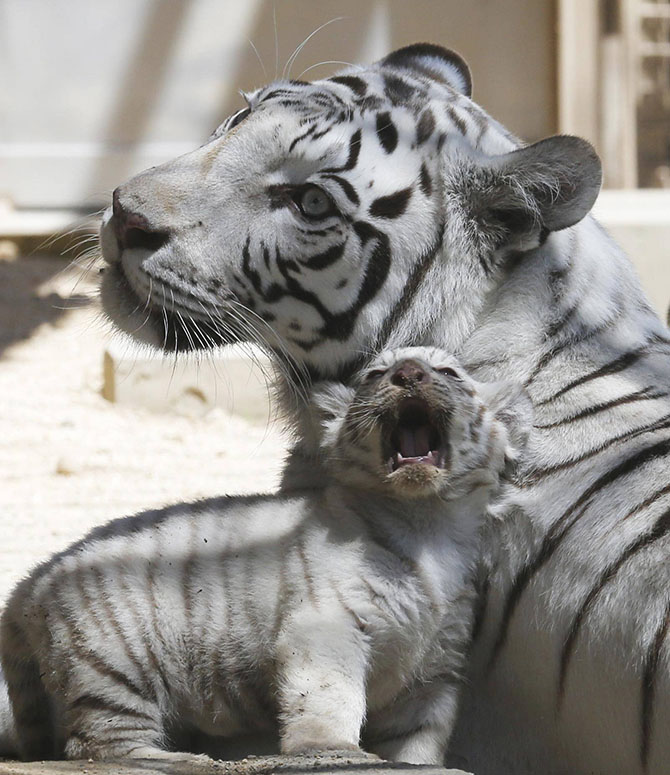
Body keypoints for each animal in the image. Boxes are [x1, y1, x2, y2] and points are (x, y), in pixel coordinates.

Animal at [0, 350, 524, 764]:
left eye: (448, 371)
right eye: (377, 373)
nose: (410, 373)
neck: (427, 522)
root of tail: (31, 581)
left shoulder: (436, 664)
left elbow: (420, 735)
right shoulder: (326, 625)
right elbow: (330, 696)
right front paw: (330, 749)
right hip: (114, 658)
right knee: (99, 744)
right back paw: (182, 760)